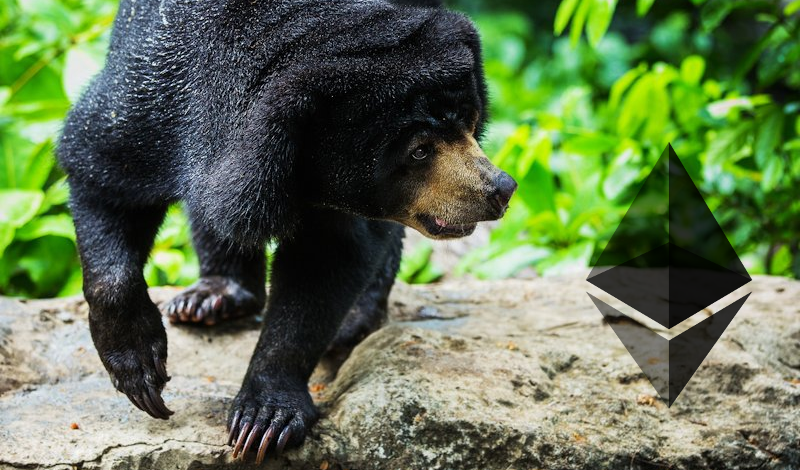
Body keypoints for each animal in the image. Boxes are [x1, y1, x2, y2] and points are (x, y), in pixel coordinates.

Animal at [56, 0, 517, 462]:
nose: (501, 189)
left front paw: (263, 420)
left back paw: (353, 321)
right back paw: (211, 298)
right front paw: (140, 372)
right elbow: (99, 171)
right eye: (419, 151)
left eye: (471, 121)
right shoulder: (149, 89)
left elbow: (327, 260)